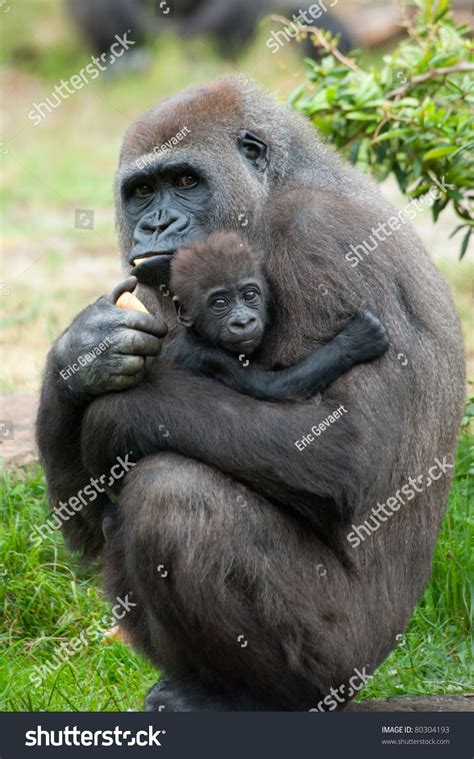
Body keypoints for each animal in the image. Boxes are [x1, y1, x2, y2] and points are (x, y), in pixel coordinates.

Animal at [170, 233, 388, 404]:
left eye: (250, 295)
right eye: (220, 304)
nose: (243, 322)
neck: (196, 334)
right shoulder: (208, 356)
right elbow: (270, 386)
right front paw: (355, 341)